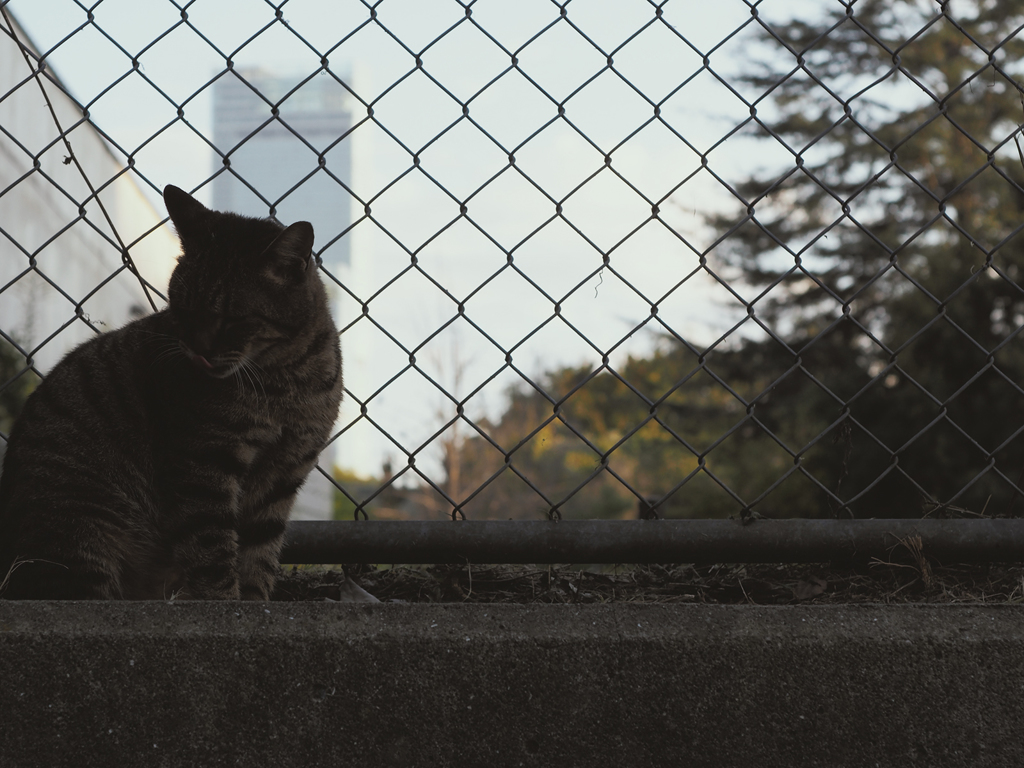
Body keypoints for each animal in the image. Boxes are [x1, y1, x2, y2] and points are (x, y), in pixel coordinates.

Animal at [0, 186, 344, 602]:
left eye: (234, 319)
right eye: (183, 307)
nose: (198, 350)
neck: (285, 381)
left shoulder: (283, 475)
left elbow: (259, 556)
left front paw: (254, 601)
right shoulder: (203, 463)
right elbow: (213, 552)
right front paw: (225, 603)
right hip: (82, 526)